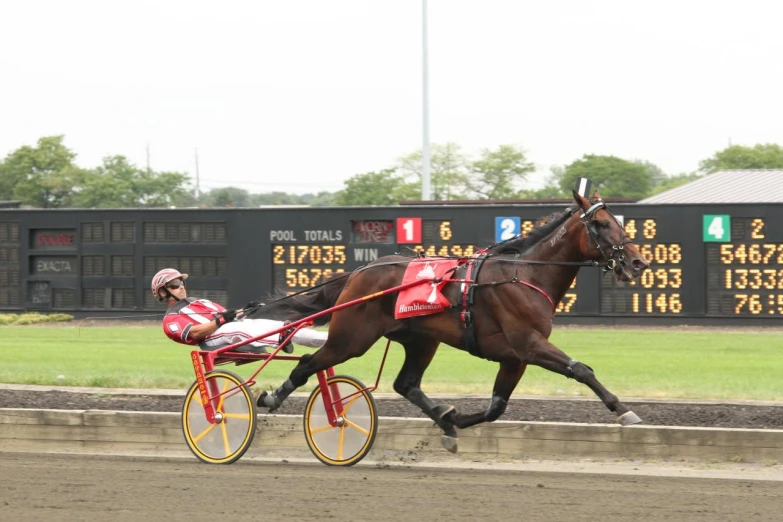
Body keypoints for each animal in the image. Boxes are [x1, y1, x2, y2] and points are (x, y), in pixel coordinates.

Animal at [256, 190, 648, 450]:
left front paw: (454, 419)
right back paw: (270, 399)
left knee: (405, 383)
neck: (524, 274)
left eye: (617, 221)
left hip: (420, 339)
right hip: (352, 337)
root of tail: (359, 271)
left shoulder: (514, 357)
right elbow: (581, 369)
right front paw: (624, 410)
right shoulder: (529, 344)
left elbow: (496, 407)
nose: (637, 262)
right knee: (308, 363)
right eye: (601, 224)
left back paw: (442, 419)